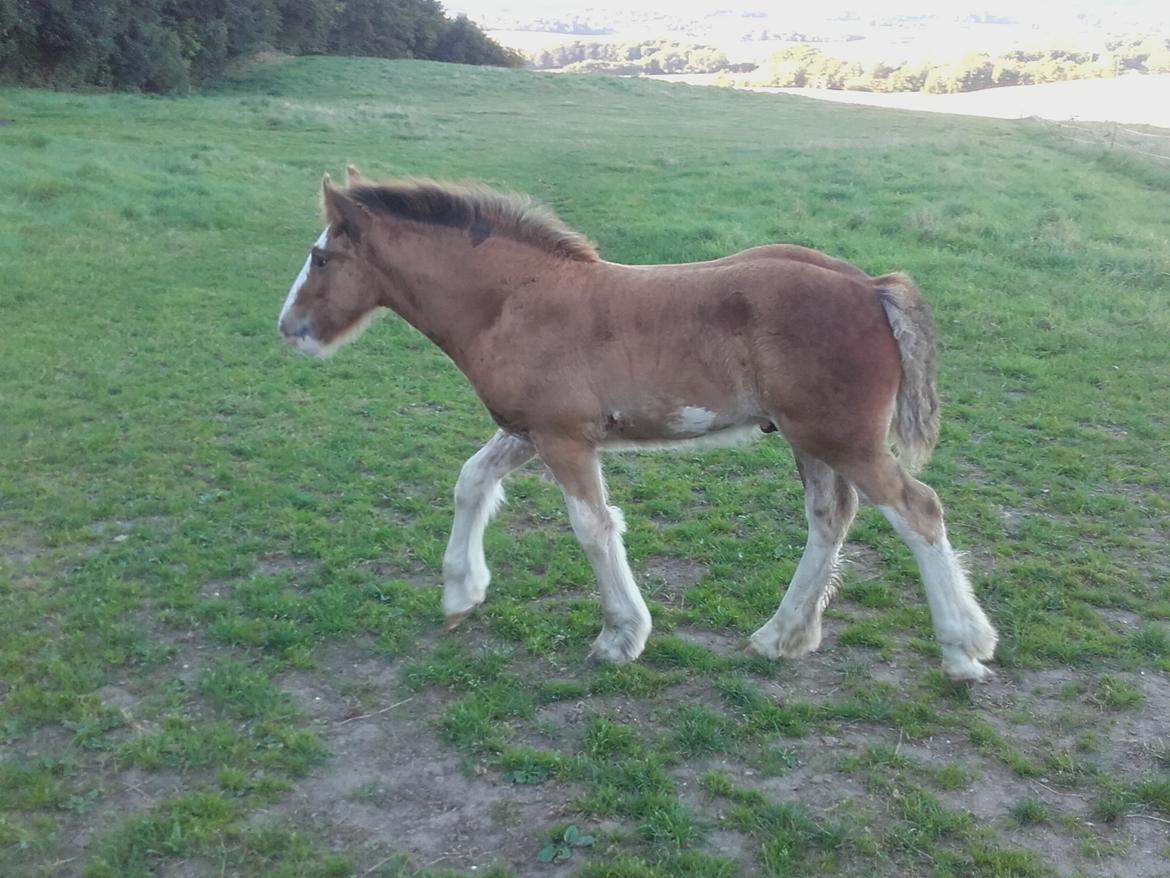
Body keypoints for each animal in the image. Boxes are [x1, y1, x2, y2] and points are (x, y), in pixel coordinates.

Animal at [276, 168, 996, 683]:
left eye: (320, 258)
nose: (289, 328)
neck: (512, 301)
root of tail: (871, 287)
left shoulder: (563, 438)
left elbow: (592, 527)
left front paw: (621, 637)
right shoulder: (528, 429)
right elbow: (471, 481)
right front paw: (461, 591)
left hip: (842, 438)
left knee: (917, 510)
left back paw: (962, 650)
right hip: (811, 439)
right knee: (831, 517)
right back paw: (782, 636)